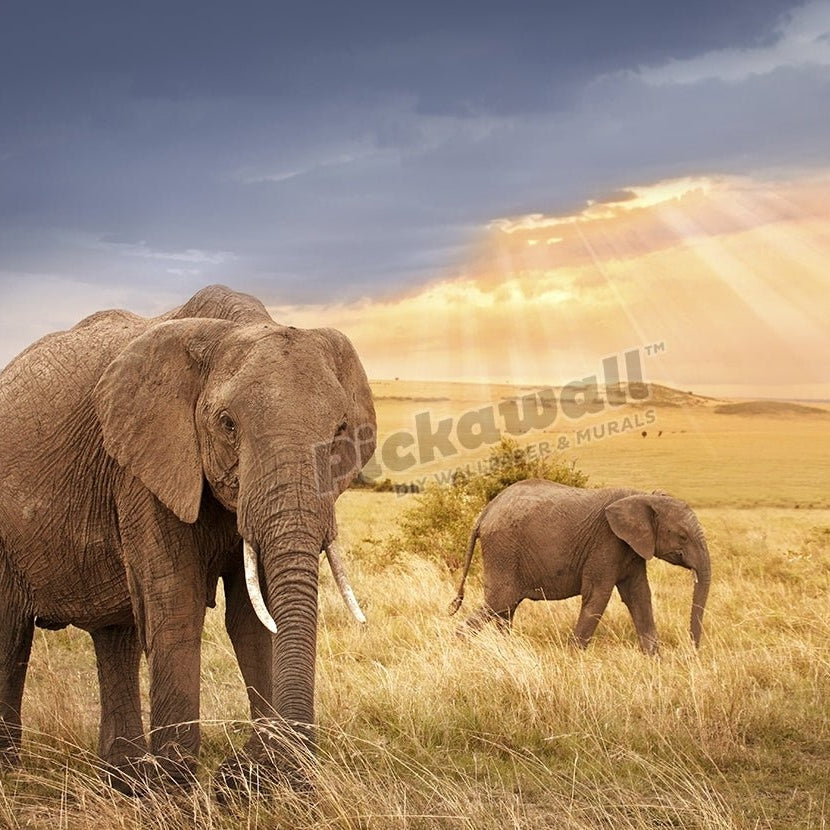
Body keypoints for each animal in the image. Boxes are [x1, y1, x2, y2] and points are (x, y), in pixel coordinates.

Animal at [0, 285, 376, 793]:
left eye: (339, 431)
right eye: (227, 424)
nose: (289, 773)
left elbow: (253, 617)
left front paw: (254, 780)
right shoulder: (145, 465)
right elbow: (176, 600)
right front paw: (178, 789)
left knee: (115, 636)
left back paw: (124, 779)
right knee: (10, 637)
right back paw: (16, 774)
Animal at [449, 480, 711, 653]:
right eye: (682, 536)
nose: (692, 652)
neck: (644, 497)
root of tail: (484, 513)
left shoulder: (631, 548)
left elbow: (639, 596)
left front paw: (654, 659)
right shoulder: (606, 542)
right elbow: (598, 595)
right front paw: (574, 657)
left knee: (505, 608)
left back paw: (508, 649)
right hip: (503, 549)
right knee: (500, 602)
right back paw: (460, 645)